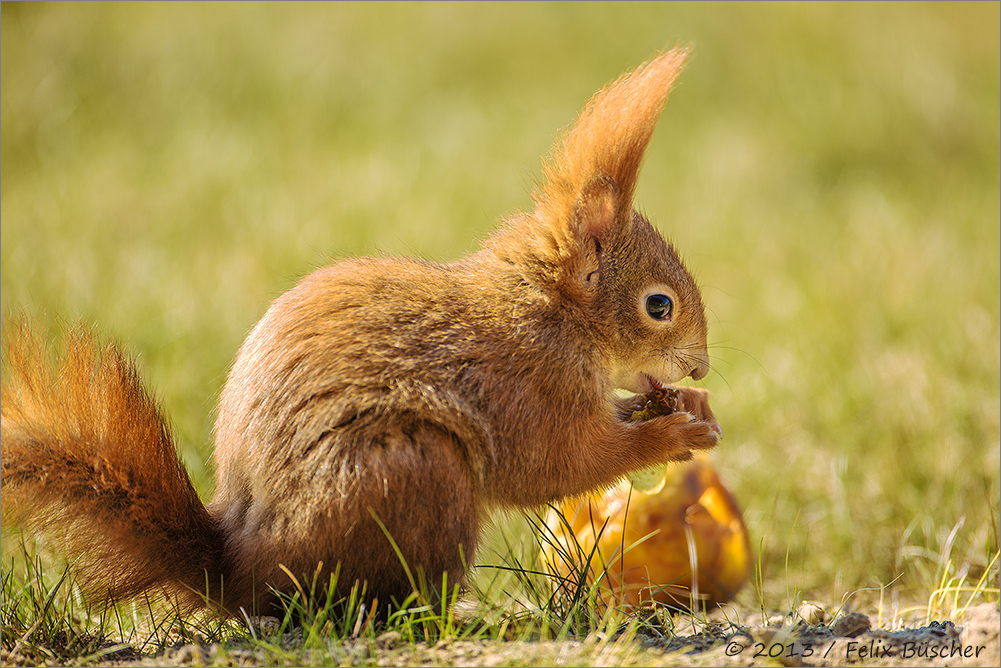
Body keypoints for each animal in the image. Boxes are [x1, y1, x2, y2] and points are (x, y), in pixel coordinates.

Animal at [0, 48, 720, 616]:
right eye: (659, 306)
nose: (701, 369)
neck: (550, 310)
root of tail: (243, 573)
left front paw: (686, 407)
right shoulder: (524, 385)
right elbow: (559, 464)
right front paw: (672, 435)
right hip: (412, 471)